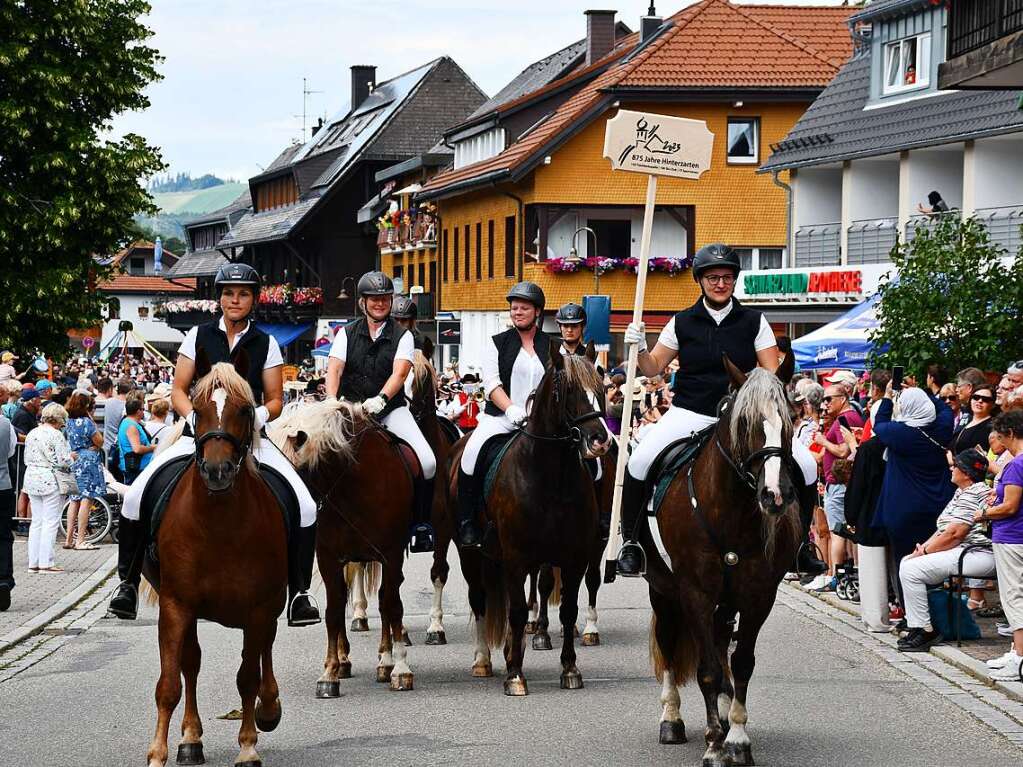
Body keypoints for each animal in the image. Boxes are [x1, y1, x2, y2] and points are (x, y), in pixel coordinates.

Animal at [144, 364, 288, 767]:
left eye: (245, 409)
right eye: (196, 408)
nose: (217, 471)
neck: (218, 522)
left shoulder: (258, 608)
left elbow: (247, 677)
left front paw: (248, 747)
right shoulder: (176, 605)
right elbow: (169, 682)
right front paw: (158, 753)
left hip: (270, 607)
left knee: (265, 651)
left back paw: (269, 708)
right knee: (191, 663)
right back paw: (190, 739)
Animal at [272, 402, 419, 695]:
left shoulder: (391, 554)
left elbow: (391, 604)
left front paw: (398, 667)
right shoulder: (329, 557)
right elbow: (334, 609)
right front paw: (330, 672)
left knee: (385, 600)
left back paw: (384, 660)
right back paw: (343, 660)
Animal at [452, 351, 609, 699]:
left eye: (602, 388)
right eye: (568, 391)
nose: (599, 441)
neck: (552, 476)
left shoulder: (573, 559)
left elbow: (567, 611)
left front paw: (570, 670)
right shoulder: (517, 558)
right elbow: (518, 612)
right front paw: (515, 676)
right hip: (471, 554)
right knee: (480, 600)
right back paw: (483, 660)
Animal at [642, 362, 802, 767]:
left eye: (791, 419)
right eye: (745, 422)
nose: (775, 495)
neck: (731, 511)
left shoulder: (759, 595)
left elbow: (741, 661)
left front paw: (738, 738)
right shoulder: (694, 592)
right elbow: (709, 671)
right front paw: (714, 745)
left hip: (726, 600)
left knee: (718, 639)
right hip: (663, 590)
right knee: (669, 641)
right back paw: (671, 718)